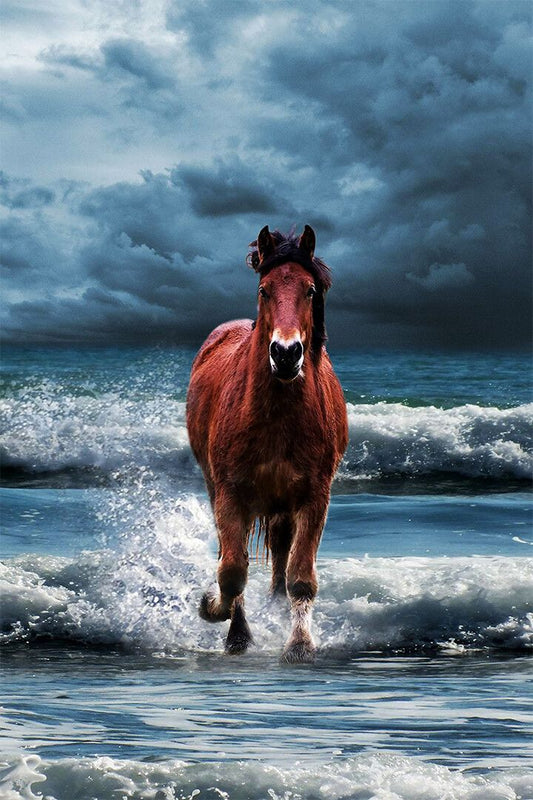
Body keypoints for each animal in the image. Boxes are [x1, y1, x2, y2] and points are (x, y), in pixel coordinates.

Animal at [186, 225, 348, 662]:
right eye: (264, 290)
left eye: (310, 290)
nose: (286, 353)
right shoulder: (230, 494)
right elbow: (232, 571)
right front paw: (217, 614)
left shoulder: (314, 496)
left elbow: (300, 575)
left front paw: (300, 643)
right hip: (217, 488)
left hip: (282, 504)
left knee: (280, 554)